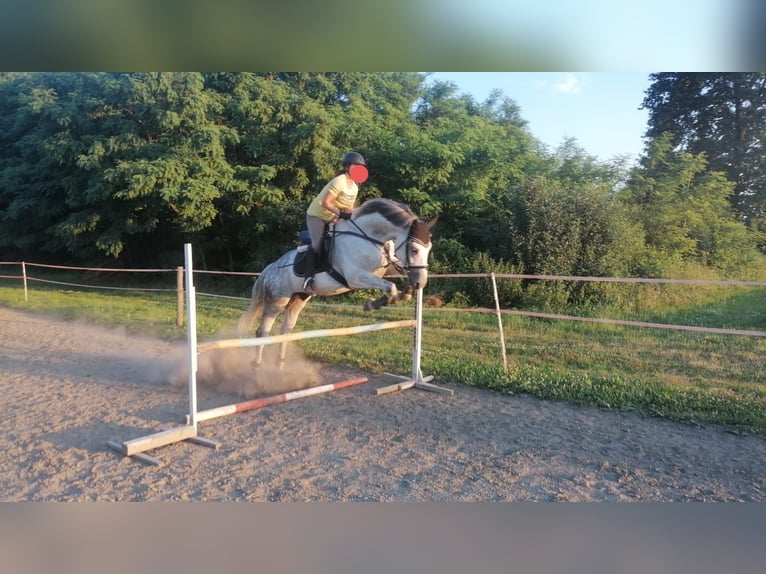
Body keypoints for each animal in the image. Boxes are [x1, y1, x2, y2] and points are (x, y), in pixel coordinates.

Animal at [237, 200, 438, 366]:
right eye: (414, 249)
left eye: (429, 248)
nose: (421, 282)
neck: (369, 238)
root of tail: (270, 268)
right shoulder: (355, 277)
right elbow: (390, 287)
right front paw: (373, 305)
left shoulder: (388, 268)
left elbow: (397, 282)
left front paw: (407, 292)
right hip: (278, 300)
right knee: (263, 332)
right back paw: (258, 366)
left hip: (298, 300)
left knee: (284, 331)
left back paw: (280, 364)